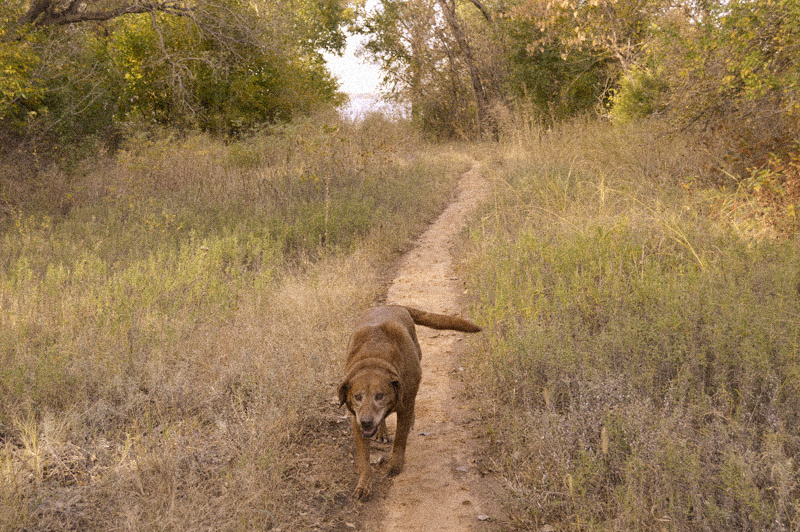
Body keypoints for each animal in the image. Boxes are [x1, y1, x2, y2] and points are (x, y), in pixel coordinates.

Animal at [338, 306, 482, 500]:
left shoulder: (404, 406)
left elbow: (400, 439)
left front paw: (395, 465)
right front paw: (364, 484)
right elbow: (363, 459)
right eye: (357, 397)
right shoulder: (356, 419)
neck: (374, 359)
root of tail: (395, 305)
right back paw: (381, 431)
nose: (366, 422)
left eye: (380, 396)